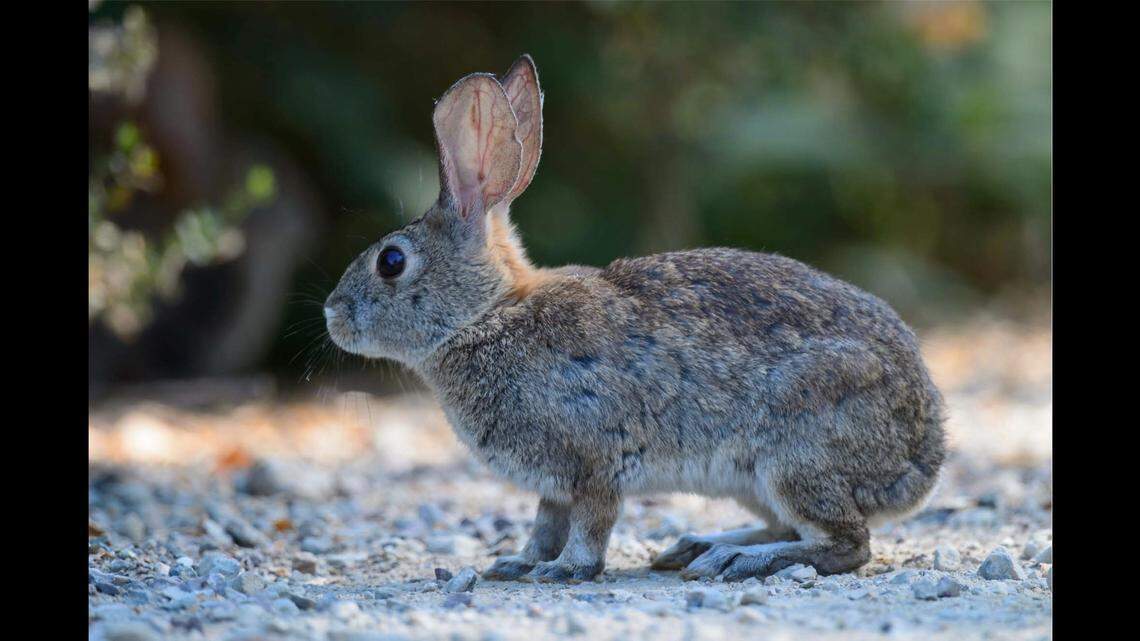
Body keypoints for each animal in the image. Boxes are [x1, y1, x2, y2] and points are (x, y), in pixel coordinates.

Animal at [323, 55, 946, 583]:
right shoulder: (553, 484)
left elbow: (590, 524)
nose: (332, 315)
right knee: (790, 527)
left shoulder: (593, 460)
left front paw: (565, 570)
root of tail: (920, 458)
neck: (487, 314)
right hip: (756, 479)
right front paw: (517, 564)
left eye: (391, 262)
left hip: (795, 453)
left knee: (845, 543)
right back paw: (698, 546)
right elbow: (544, 525)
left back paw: (736, 560)